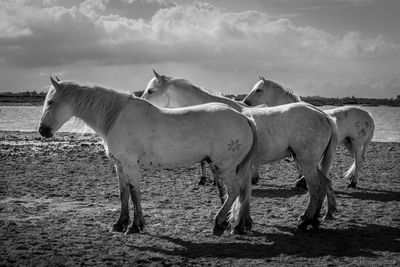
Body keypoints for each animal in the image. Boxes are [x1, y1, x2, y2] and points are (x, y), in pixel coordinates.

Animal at [38, 77, 256, 237]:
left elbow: (135, 195)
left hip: (225, 167)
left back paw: (218, 224)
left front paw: (135, 226)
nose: (42, 130)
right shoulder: (119, 166)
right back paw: (236, 224)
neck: (115, 117)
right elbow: (123, 194)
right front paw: (120, 224)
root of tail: (244, 117)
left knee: (234, 191)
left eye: (51, 102)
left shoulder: (131, 166)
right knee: (239, 193)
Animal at [142, 71, 340, 230]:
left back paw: (305, 221)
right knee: (324, 184)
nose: (143, 105)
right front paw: (241, 221)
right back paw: (317, 218)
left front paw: (233, 220)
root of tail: (324, 115)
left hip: (307, 162)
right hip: (311, 163)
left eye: (150, 91)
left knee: (315, 188)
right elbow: (231, 191)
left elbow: (230, 192)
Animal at [244, 77, 376, 188]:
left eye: (258, 90)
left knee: (359, 160)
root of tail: (369, 116)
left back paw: (353, 183)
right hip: (348, 143)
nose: (246, 102)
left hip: (356, 143)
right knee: (357, 160)